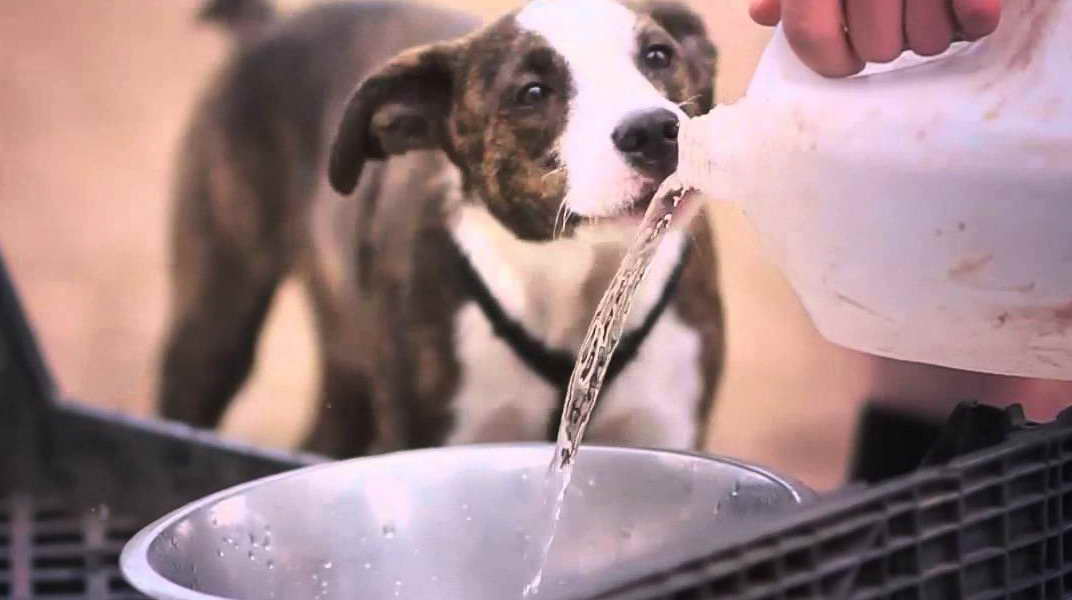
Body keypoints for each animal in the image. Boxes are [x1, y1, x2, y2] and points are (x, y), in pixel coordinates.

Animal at [158, 0, 724, 456]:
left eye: (658, 56)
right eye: (532, 92)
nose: (653, 129)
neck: (578, 273)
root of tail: (268, 28)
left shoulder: (666, 429)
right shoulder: (425, 435)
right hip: (213, 328)